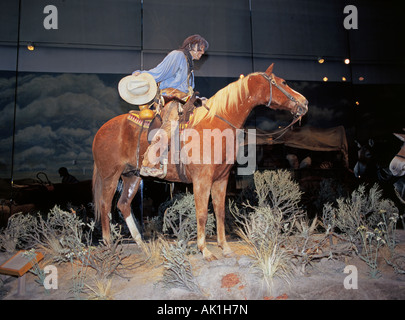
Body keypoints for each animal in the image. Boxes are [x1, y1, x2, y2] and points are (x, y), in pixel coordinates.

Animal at [91, 63, 306, 262]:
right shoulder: (202, 180)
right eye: (283, 82)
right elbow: (202, 213)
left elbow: (219, 211)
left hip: (132, 177)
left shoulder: (221, 180)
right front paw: (205, 250)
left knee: (123, 205)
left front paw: (224, 247)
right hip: (110, 176)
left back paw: (142, 246)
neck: (215, 124)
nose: (304, 102)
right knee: (105, 205)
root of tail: (101, 130)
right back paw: (109, 247)